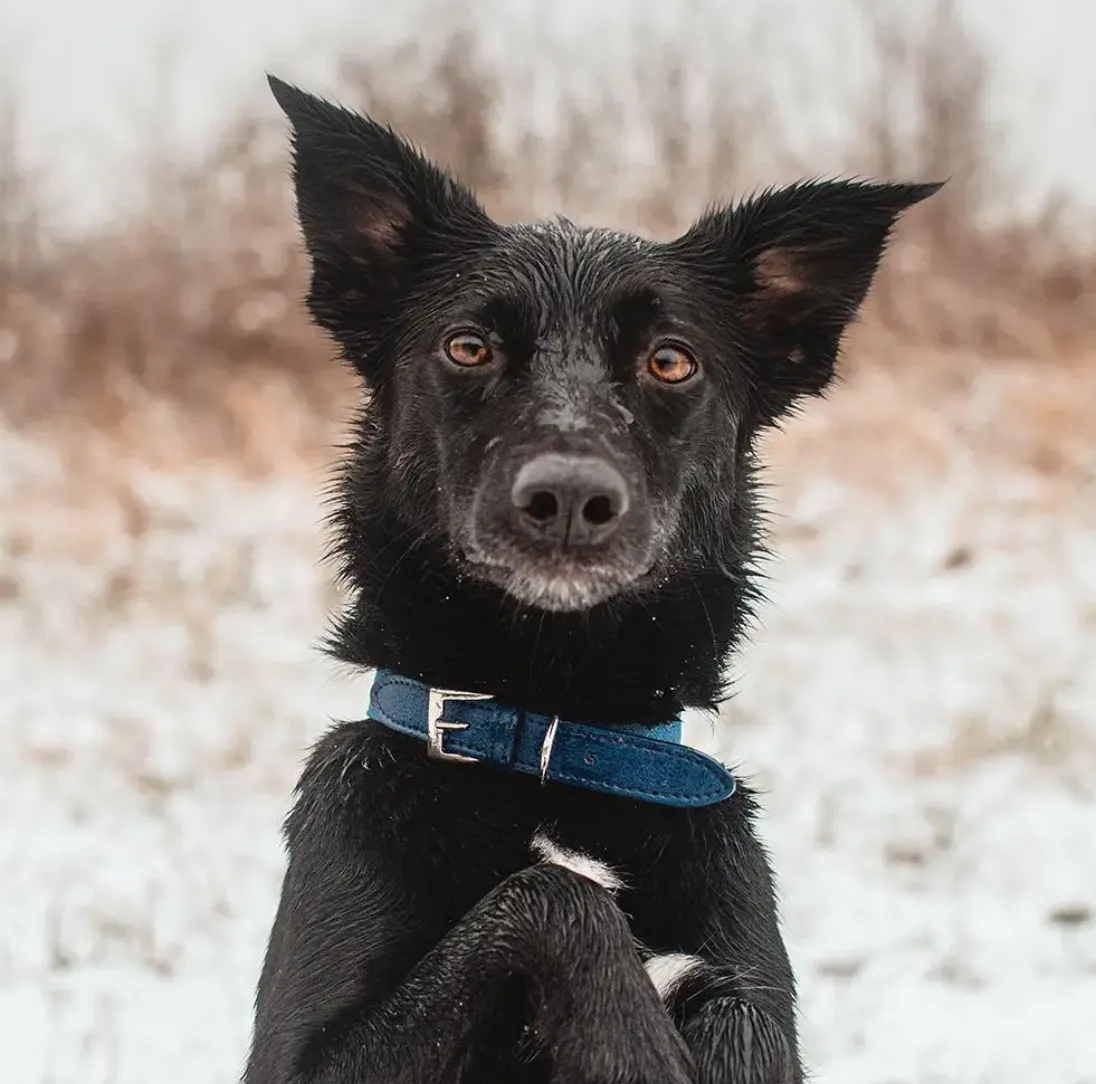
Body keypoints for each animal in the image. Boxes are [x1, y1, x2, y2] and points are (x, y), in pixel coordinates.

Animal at [246, 78, 933, 1082]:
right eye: (468, 347)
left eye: (670, 360)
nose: (568, 496)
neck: (547, 732)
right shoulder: (303, 1058)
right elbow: (559, 897)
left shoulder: (749, 969)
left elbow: (740, 1013)